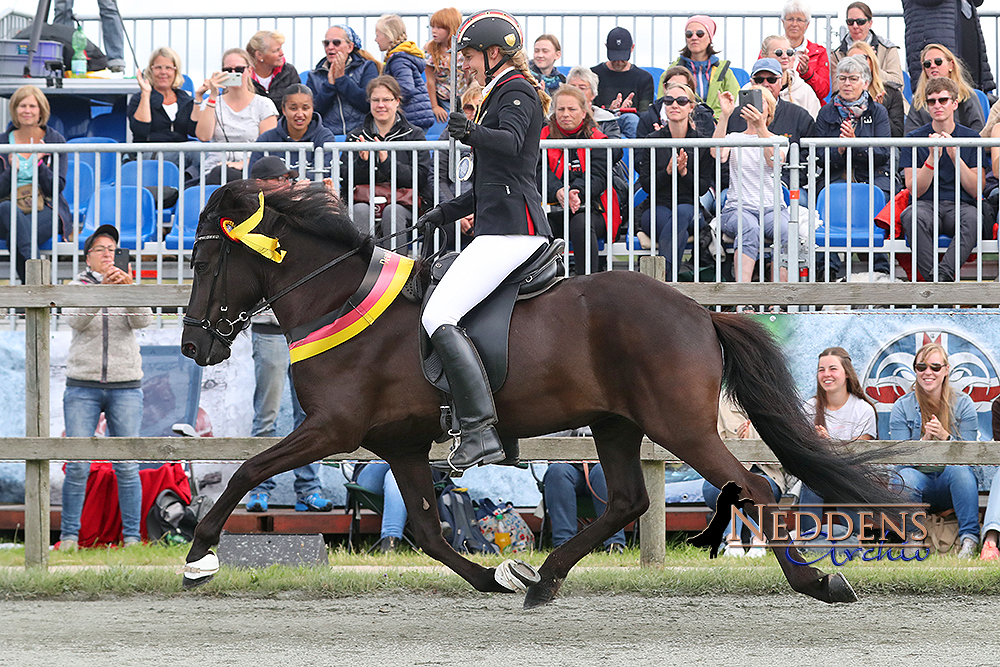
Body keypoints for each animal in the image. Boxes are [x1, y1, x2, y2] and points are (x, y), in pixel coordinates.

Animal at [182, 181, 900, 604]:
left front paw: (199, 554)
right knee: (629, 499)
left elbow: (247, 469)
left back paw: (816, 580)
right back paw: (542, 577)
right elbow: (427, 529)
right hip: (616, 422)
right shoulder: (401, 443)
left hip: (679, 426)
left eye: (205, 259)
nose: (194, 346)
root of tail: (697, 312)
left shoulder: (333, 427)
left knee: (754, 486)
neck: (337, 296)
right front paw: (492, 576)